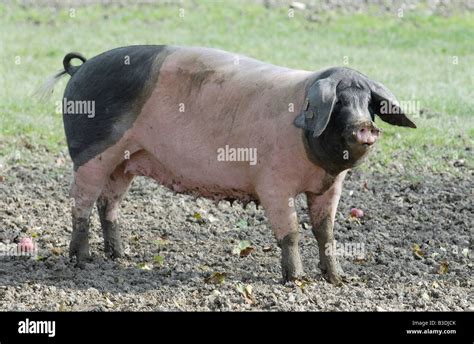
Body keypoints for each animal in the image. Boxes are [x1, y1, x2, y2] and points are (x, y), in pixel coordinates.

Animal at [43, 44, 414, 284]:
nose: (364, 126)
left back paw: (121, 257)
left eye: (368, 103)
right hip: (90, 154)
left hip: (125, 162)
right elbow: (292, 232)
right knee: (81, 205)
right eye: (338, 104)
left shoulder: (331, 186)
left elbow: (326, 231)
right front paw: (295, 280)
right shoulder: (272, 184)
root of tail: (80, 68)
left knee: (108, 205)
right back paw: (82, 260)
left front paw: (338, 279)